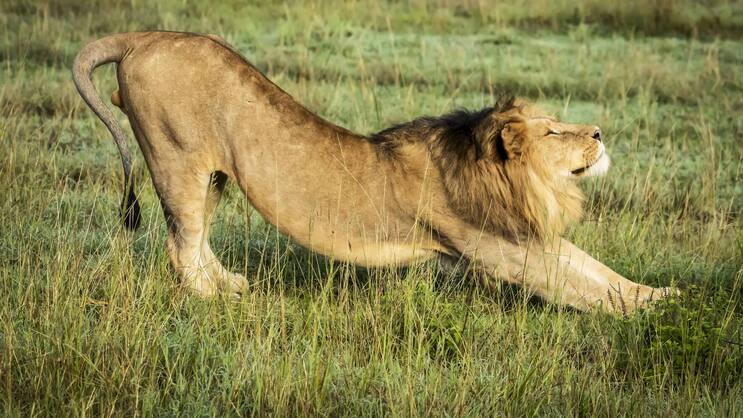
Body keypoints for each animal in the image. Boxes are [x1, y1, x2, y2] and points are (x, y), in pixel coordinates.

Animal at [73, 31, 675, 314]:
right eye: (552, 132)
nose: (598, 132)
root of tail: (140, 38)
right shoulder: (503, 250)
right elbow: (584, 287)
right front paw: (648, 314)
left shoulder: (523, 237)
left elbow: (599, 270)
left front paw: (665, 293)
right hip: (177, 157)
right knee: (181, 246)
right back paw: (216, 301)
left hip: (215, 174)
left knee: (195, 242)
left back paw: (233, 285)